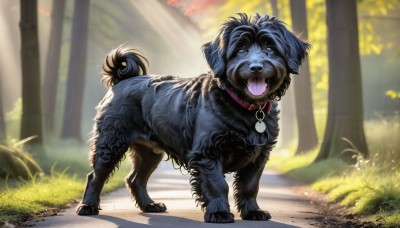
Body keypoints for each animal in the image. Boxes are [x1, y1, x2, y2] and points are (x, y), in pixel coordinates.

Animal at [77, 13, 310, 223]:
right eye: (240, 49)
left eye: (269, 48)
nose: (256, 67)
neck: (245, 107)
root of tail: (122, 80)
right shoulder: (207, 154)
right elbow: (217, 185)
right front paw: (219, 212)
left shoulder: (258, 156)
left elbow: (250, 186)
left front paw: (252, 211)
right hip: (110, 143)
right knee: (95, 176)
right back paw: (87, 206)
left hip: (150, 152)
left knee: (136, 179)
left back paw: (149, 205)